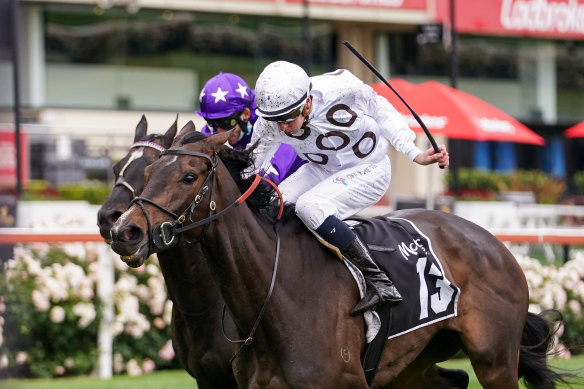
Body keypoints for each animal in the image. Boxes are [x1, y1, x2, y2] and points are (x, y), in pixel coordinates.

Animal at [108, 127, 564, 388]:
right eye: (146, 174)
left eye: (188, 176)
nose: (124, 230)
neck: (275, 297)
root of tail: (495, 244)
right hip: (413, 365)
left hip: (495, 360)